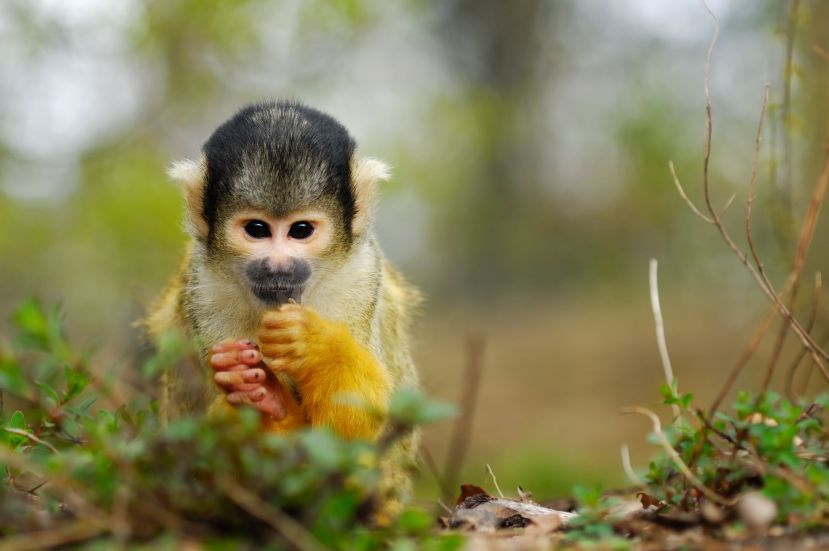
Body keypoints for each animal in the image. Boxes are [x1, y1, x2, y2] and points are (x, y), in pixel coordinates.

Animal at [146, 101, 420, 506]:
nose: (278, 266)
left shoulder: (359, 278)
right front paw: (261, 400)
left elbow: (351, 432)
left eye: (300, 230)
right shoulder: (204, 287)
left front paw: (316, 348)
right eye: (257, 230)